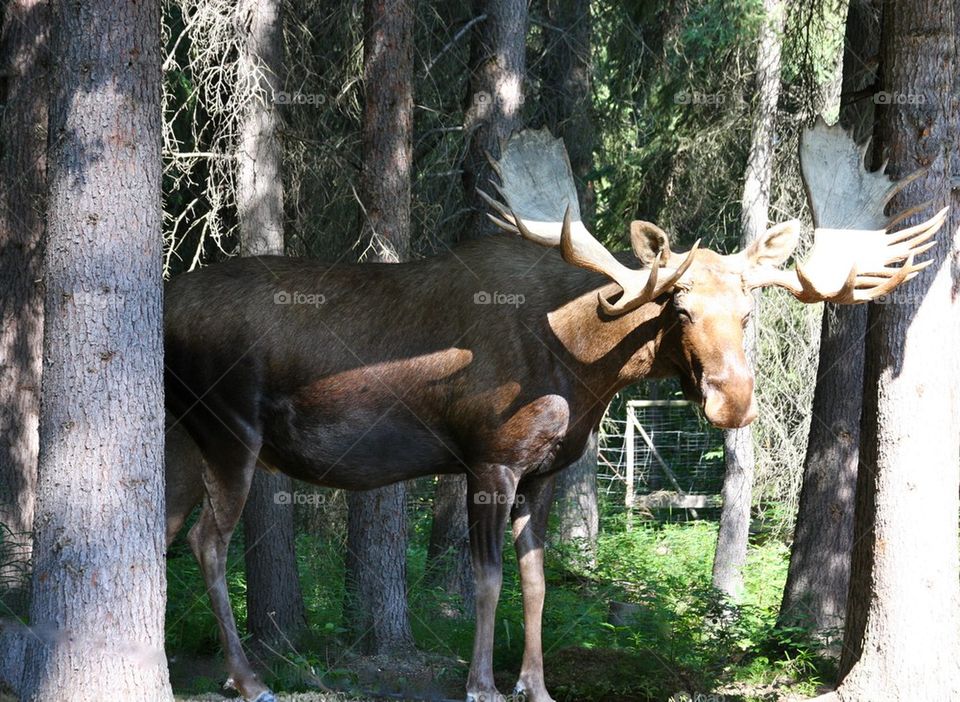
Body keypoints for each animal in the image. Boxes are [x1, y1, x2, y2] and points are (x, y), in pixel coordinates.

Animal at [163, 119, 945, 702]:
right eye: (680, 307)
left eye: (750, 311)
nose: (734, 399)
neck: (582, 369)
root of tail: (163, 302)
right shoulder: (489, 460)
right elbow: (486, 581)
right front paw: (482, 683)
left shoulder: (542, 472)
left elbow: (537, 580)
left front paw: (534, 685)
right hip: (230, 431)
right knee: (206, 543)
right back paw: (248, 679)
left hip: (183, 441)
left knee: (165, 531)